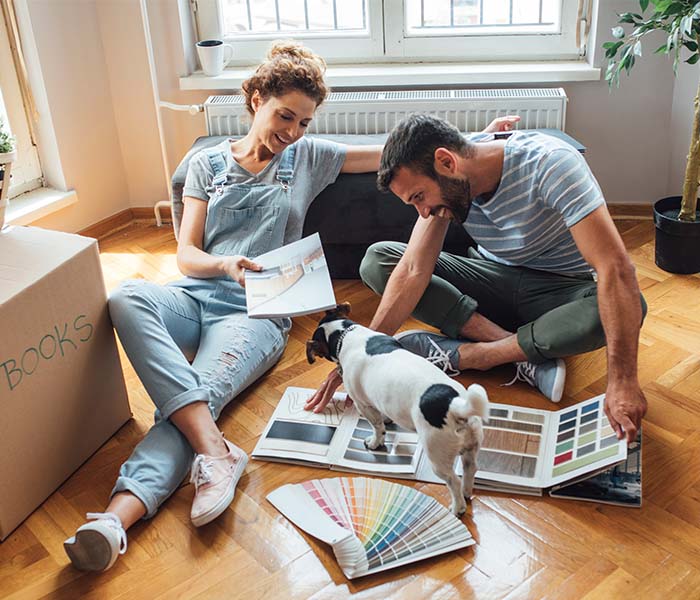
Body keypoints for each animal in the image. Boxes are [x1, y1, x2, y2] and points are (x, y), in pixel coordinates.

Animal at [308, 304, 490, 516]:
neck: (346, 334)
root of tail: (454, 405)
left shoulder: (363, 405)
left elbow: (377, 427)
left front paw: (374, 442)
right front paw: (387, 419)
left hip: (437, 456)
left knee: (453, 481)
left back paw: (457, 508)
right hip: (471, 445)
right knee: (470, 469)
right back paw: (467, 493)